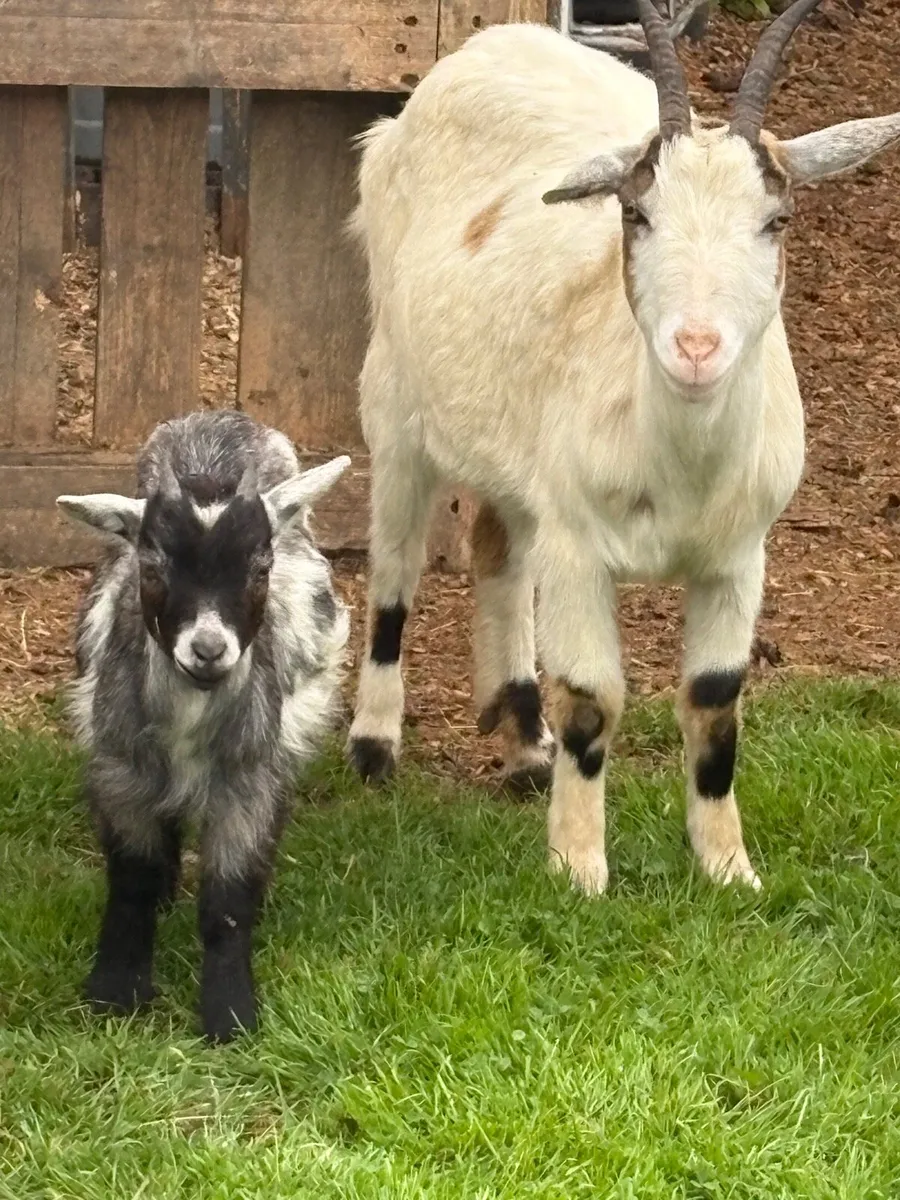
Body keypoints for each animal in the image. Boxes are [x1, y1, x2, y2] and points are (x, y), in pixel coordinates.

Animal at [57, 411, 350, 1042]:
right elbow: (134, 881)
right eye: (153, 567)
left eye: (260, 567)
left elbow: (228, 901)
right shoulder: (120, 771)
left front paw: (230, 1012)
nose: (209, 649)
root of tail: (222, 418)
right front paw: (115, 991)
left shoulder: (251, 781)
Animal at [347, 0, 900, 894]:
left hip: (516, 456)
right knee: (393, 565)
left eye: (776, 220)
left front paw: (728, 867)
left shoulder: (738, 557)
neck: (677, 471)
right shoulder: (579, 550)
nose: (697, 348)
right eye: (637, 215)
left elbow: (714, 700)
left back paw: (524, 746)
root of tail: (484, 46)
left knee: (498, 547)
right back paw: (374, 744)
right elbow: (592, 697)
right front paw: (578, 867)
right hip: (395, 398)